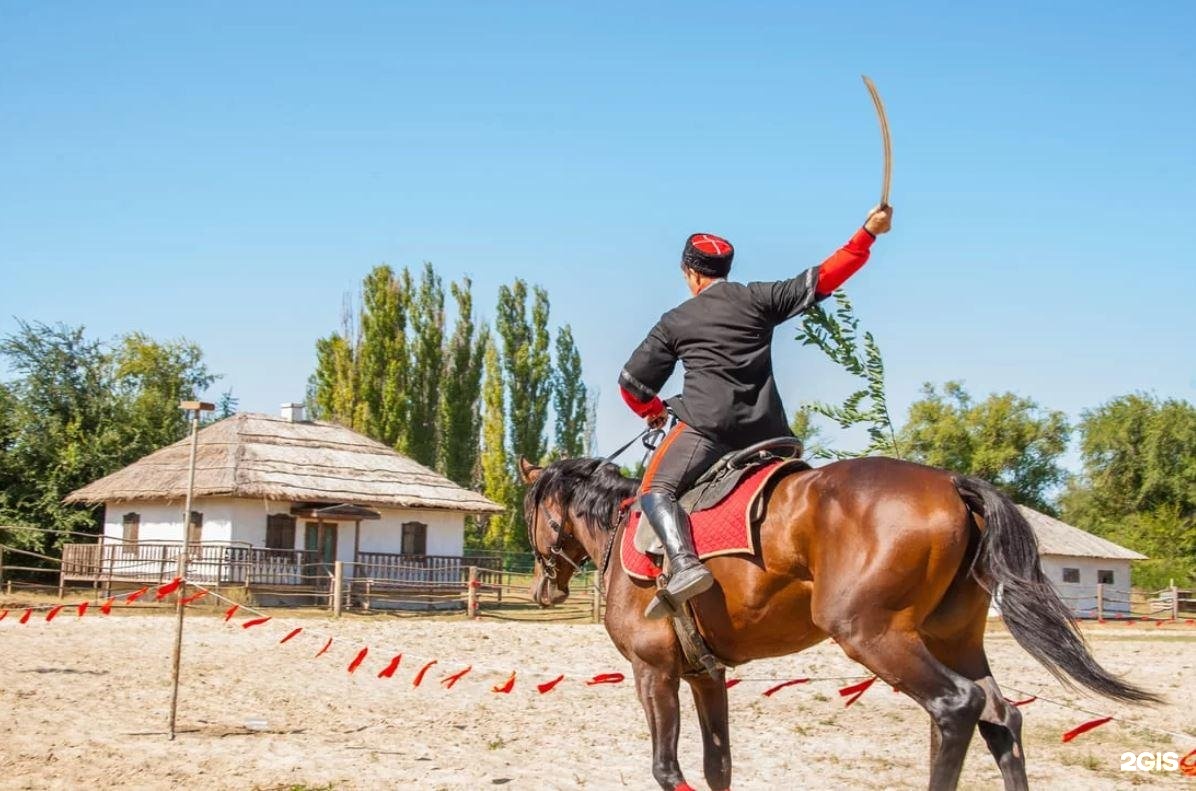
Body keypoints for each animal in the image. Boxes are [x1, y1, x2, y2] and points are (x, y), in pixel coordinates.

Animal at [519, 449, 1152, 789]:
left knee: (955, 707)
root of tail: (950, 483)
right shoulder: (706, 674)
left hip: (872, 634)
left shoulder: (655, 672)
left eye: (531, 515)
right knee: (999, 716)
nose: (544, 588)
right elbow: (718, 765)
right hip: (951, 639)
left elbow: (667, 769)